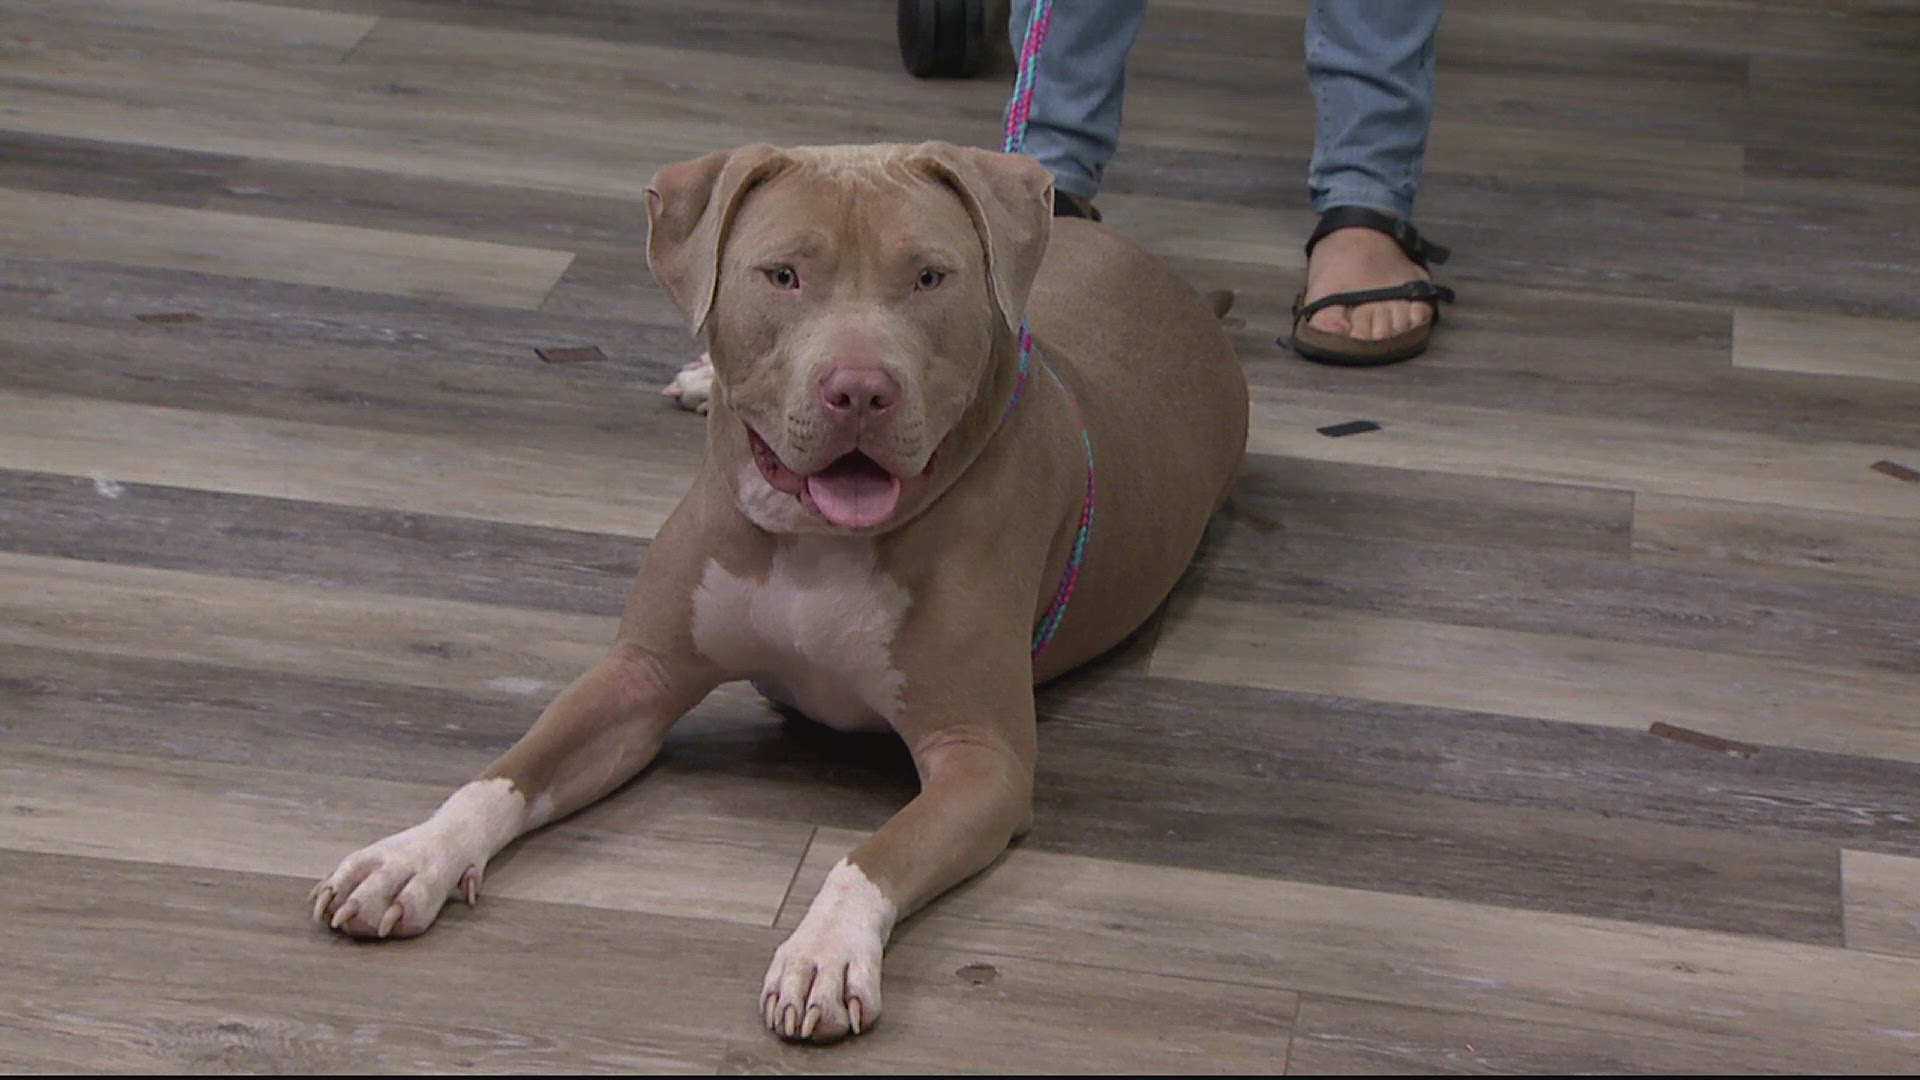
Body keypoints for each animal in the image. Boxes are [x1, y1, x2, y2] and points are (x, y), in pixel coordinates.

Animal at [309, 141, 1251, 1037]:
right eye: (784, 276)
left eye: (929, 277)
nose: (860, 389)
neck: (814, 538)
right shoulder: (637, 677)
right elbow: (506, 773)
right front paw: (410, 855)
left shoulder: (983, 760)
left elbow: (872, 854)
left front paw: (825, 953)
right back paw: (699, 376)